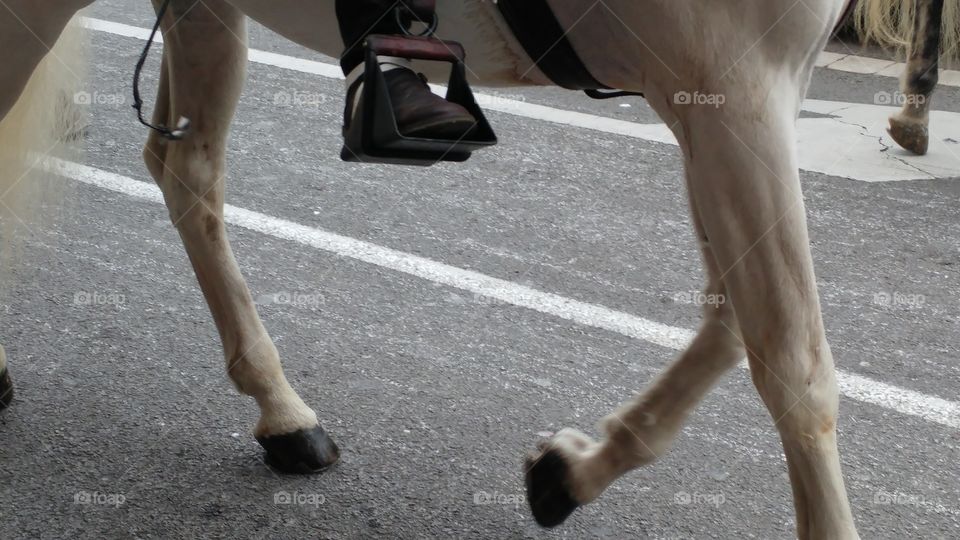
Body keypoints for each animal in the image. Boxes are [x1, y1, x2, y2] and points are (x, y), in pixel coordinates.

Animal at [0, 0, 927, 537]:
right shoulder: (735, 89)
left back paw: (282, 412)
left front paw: (574, 470)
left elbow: (734, 318)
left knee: (185, 172)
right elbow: (796, 365)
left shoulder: (726, 102)